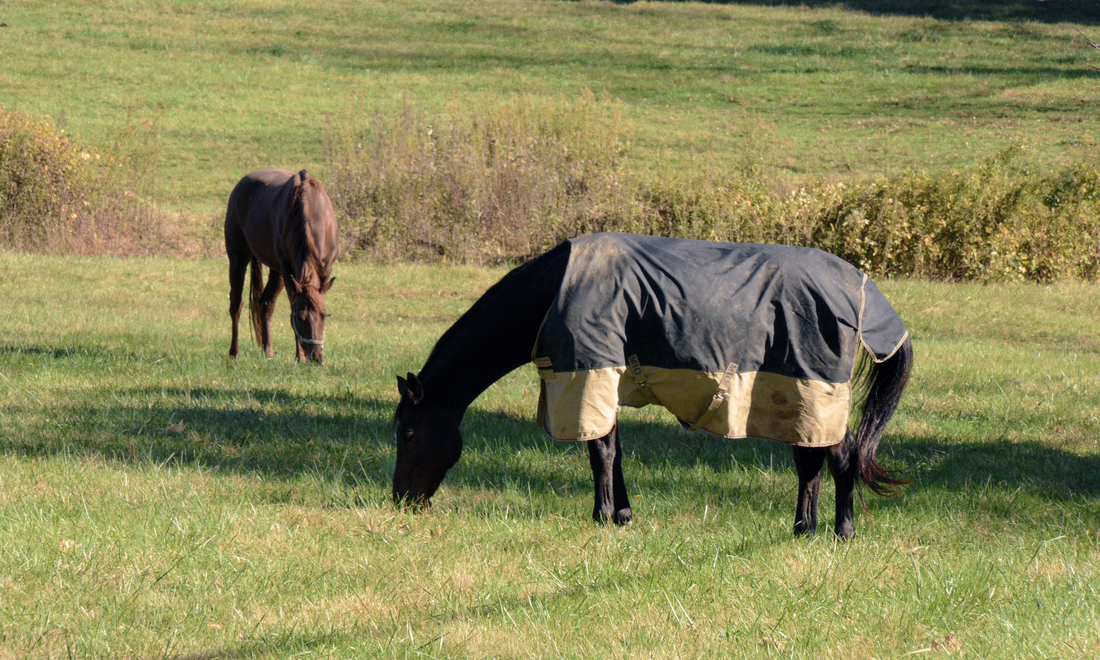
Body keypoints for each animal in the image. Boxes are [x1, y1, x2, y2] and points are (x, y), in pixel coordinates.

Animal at [224, 168, 338, 364]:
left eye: (325, 316)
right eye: (300, 317)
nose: (316, 357)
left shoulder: (324, 269)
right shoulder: (287, 269)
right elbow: (292, 305)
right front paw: (300, 356)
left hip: (275, 270)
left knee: (265, 303)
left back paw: (267, 351)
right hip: (238, 259)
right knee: (236, 304)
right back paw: (234, 353)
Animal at [393, 233, 913, 538]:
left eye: (409, 433)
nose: (402, 501)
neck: (556, 290)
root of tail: (859, 288)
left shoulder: (590, 374)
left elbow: (600, 452)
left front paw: (603, 517)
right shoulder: (603, 381)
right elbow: (613, 450)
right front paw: (621, 515)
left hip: (816, 390)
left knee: (840, 457)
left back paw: (842, 531)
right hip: (796, 399)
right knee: (810, 463)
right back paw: (803, 528)